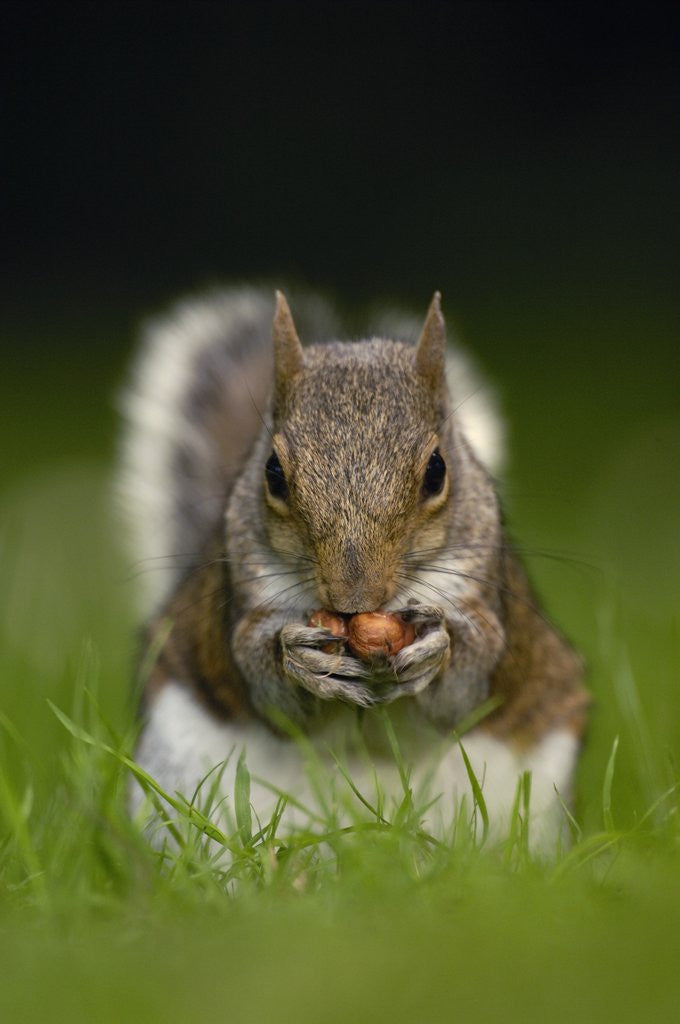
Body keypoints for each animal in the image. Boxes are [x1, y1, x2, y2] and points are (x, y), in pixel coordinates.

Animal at [119, 286, 588, 850]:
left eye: (437, 471)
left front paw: (440, 646)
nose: (354, 599)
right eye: (273, 473)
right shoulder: (245, 594)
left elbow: (464, 691)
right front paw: (297, 657)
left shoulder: (482, 594)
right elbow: (269, 689)